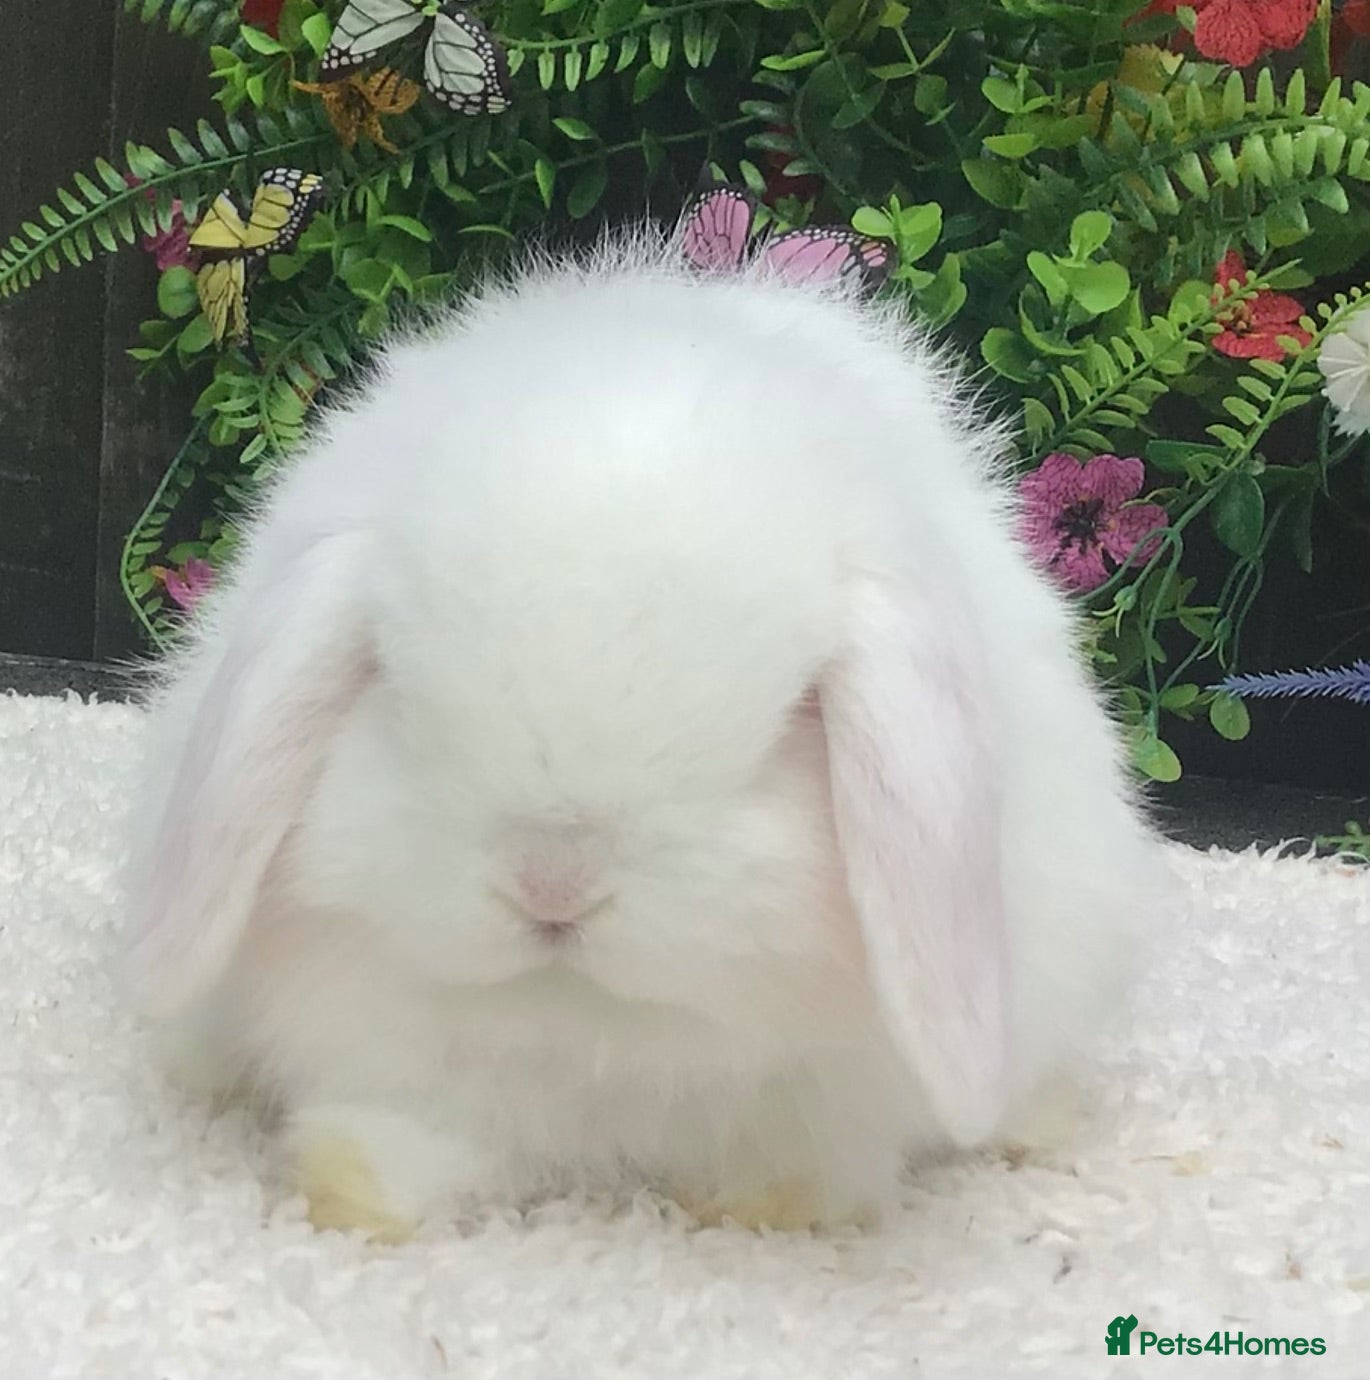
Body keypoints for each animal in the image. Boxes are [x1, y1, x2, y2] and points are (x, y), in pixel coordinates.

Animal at [123, 232, 1168, 1242]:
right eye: (392, 683)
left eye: (791, 719)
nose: (552, 887)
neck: (589, 1038)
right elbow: (402, 1138)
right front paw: (351, 1198)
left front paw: (768, 1211)